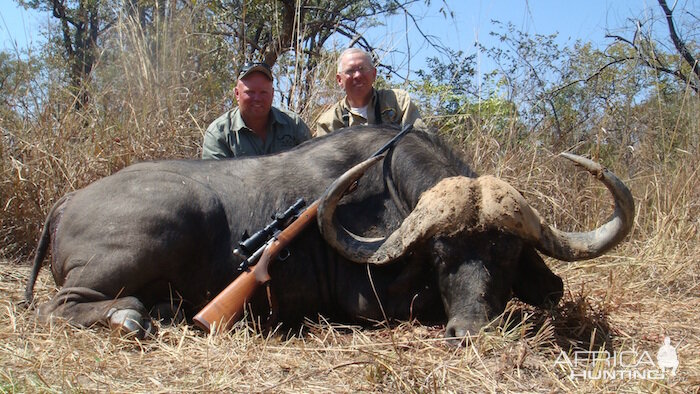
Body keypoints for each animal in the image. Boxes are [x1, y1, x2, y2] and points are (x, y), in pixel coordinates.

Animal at [23, 127, 636, 342]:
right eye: (441, 254)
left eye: (505, 255)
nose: (468, 331)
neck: (391, 191)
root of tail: (68, 202)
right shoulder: (369, 301)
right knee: (60, 307)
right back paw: (130, 317)